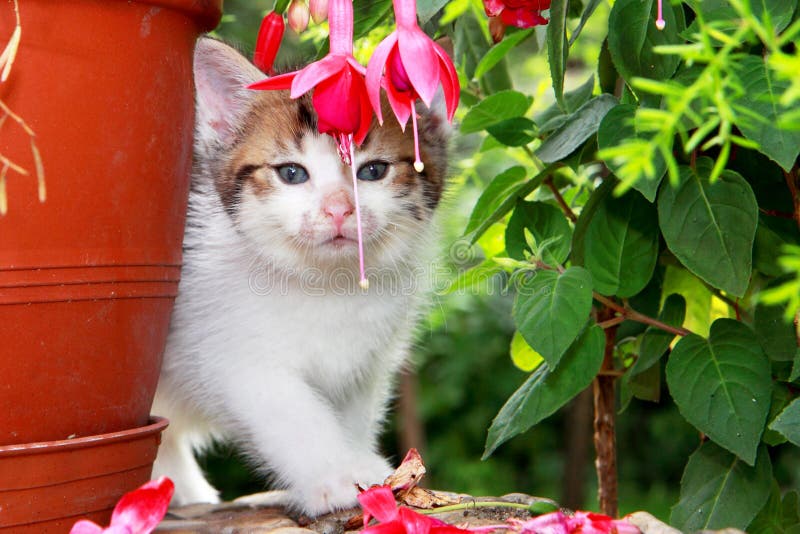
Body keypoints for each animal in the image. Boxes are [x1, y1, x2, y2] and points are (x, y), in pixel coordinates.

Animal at [152, 39, 450, 516]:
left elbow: (351, 409)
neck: (325, 284)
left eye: (373, 171)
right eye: (291, 173)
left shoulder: (368, 362)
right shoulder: (226, 349)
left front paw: (361, 464)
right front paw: (334, 477)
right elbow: (291, 412)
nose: (338, 209)